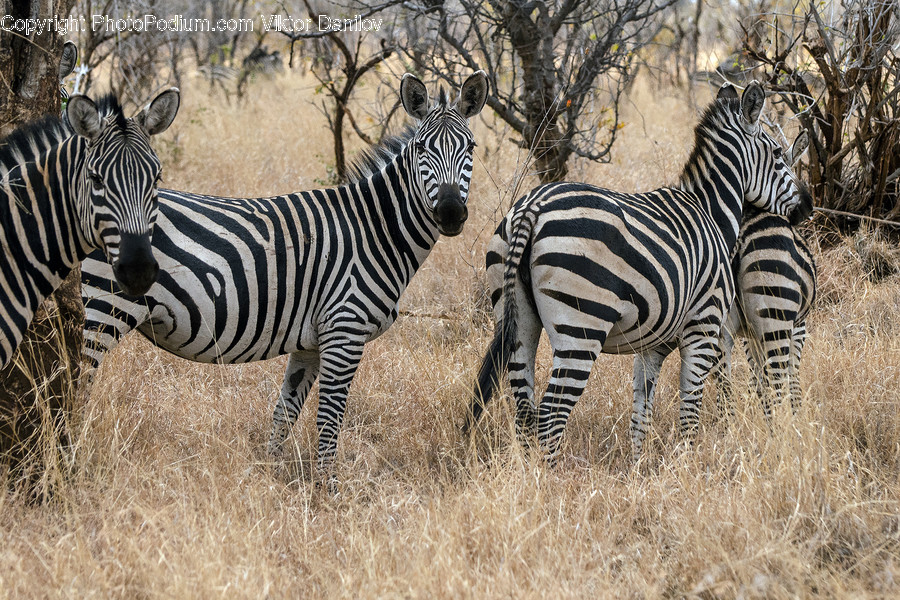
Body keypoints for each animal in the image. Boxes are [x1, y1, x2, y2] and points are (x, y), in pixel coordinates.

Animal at [79, 71, 488, 474]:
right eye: (422, 149)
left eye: (471, 148)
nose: (451, 212)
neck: (374, 230)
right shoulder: (345, 330)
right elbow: (329, 419)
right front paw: (328, 488)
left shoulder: (310, 343)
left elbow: (285, 413)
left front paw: (271, 476)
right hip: (101, 309)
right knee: (75, 384)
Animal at [714, 136, 817, 416]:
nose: (807, 209)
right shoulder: (799, 325)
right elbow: (792, 376)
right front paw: (797, 414)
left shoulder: (749, 334)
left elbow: (757, 377)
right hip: (777, 314)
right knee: (777, 384)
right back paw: (781, 427)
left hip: (716, 324)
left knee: (723, 388)